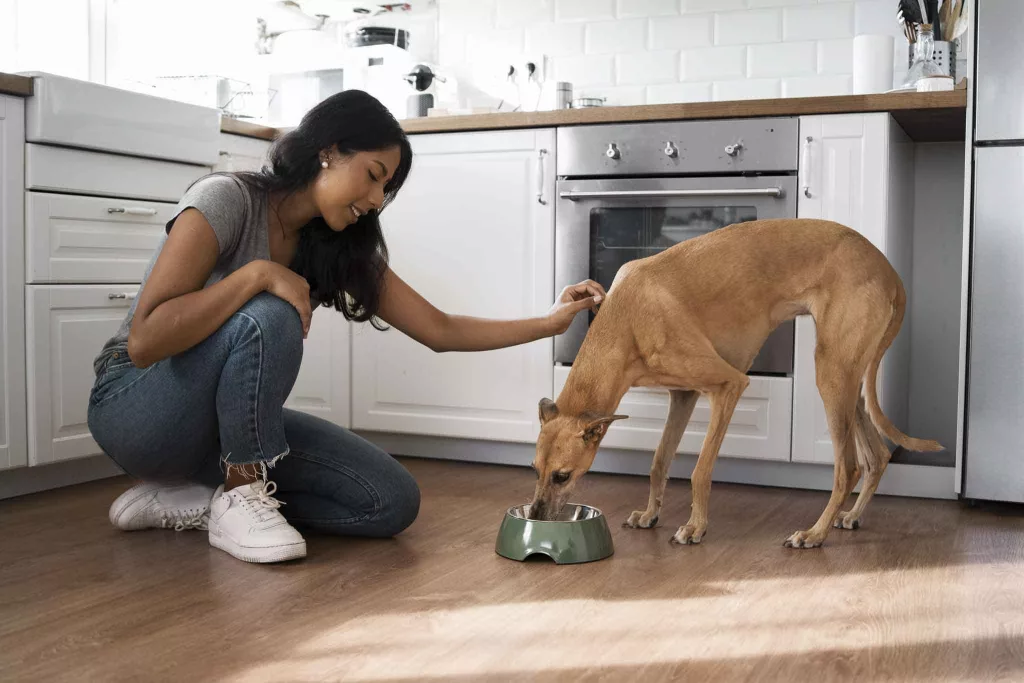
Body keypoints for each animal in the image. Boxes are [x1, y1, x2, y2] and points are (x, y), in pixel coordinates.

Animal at [532, 220, 937, 548]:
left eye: (562, 476)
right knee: (877, 456)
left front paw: (695, 527)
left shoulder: (728, 386)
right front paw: (650, 515)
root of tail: (889, 271)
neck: (627, 318)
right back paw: (851, 516)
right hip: (848, 379)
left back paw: (814, 534)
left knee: (848, 467)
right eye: (535, 469)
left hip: (831, 374)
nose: (535, 516)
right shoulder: (682, 395)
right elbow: (659, 461)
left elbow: (700, 470)